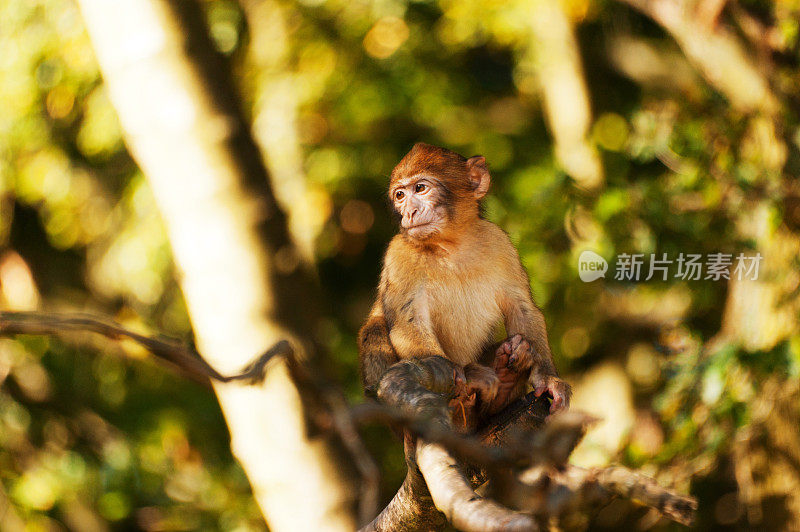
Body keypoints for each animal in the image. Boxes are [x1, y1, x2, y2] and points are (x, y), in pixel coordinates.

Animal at [360, 142, 572, 428]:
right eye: (400, 195)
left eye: (420, 188)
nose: (408, 213)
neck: (451, 246)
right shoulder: (399, 253)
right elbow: (407, 324)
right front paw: (466, 374)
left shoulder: (499, 242)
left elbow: (523, 308)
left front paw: (549, 379)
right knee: (376, 327)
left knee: (520, 346)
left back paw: (505, 376)